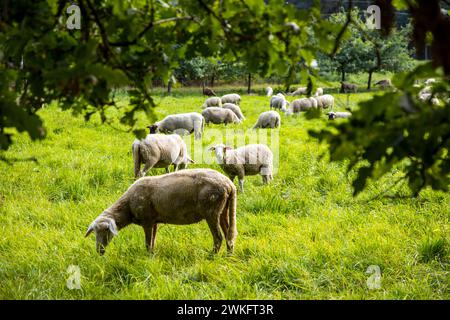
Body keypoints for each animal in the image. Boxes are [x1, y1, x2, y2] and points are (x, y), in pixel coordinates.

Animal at [85, 168, 239, 255]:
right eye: (94, 232)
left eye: (106, 230)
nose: (99, 251)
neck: (127, 206)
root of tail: (229, 184)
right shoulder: (154, 221)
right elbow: (152, 241)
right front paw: (152, 255)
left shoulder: (147, 221)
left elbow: (148, 243)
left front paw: (148, 257)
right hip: (223, 210)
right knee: (228, 235)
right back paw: (229, 255)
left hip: (211, 211)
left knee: (218, 237)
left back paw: (211, 256)